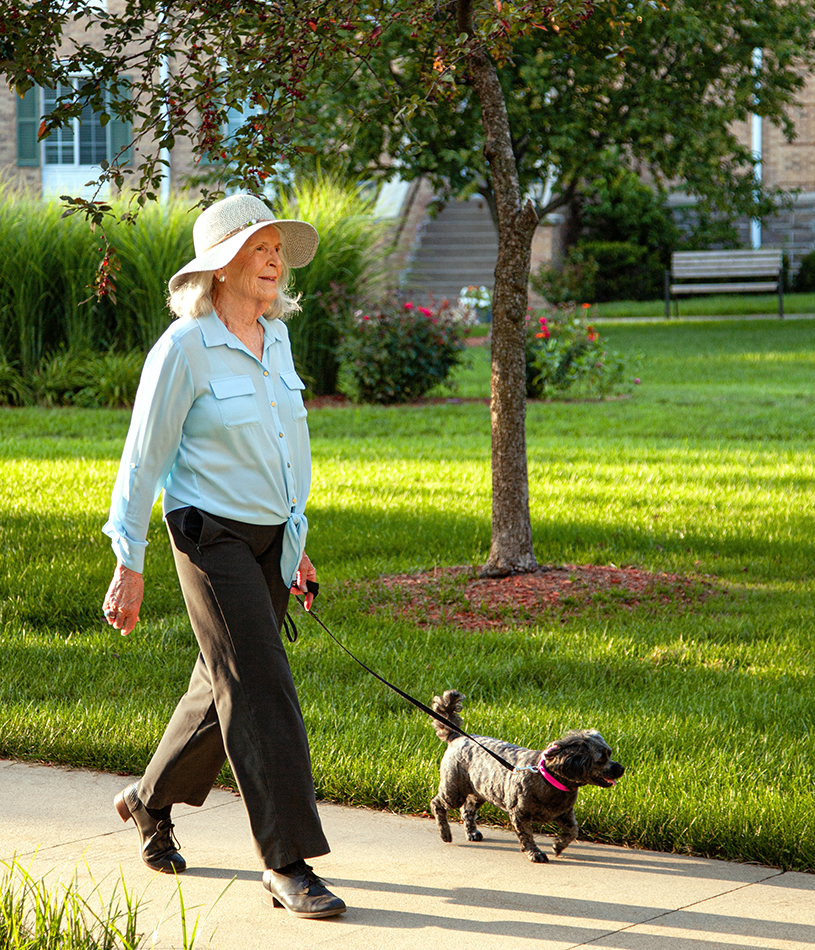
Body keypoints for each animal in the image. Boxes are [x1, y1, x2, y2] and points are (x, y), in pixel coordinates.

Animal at [434, 692, 624, 864]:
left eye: (609, 753)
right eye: (601, 759)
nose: (622, 768)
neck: (549, 778)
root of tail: (457, 736)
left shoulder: (564, 813)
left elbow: (573, 831)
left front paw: (558, 846)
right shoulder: (520, 814)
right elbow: (527, 836)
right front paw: (535, 853)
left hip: (481, 790)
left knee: (467, 809)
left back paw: (471, 832)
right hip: (454, 790)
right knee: (437, 803)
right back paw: (445, 833)